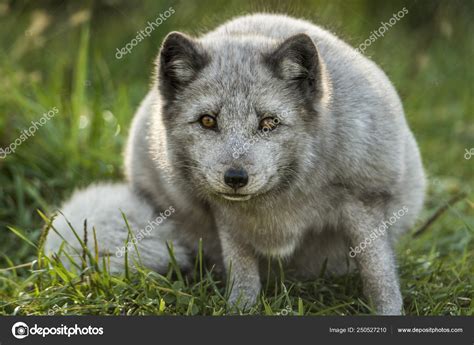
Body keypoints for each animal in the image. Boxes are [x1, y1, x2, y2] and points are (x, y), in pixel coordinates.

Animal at [47, 14, 426, 314]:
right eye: (208, 121)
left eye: (269, 123)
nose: (235, 177)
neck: (280, 203)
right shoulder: (225, 216)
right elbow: (242, 274)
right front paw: (240, 310)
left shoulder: (364, 201)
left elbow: (379, 274)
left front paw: (388, 313)